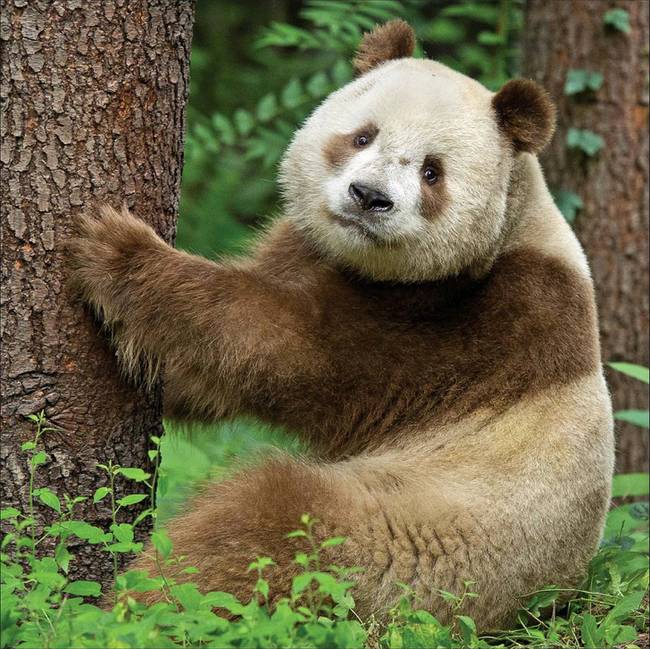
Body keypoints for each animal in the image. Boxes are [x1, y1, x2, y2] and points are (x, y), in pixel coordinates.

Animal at [69, 20, 614, 630]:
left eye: (432, 171)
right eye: (363, 137)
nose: (368, 197)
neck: (513, 224)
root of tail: (546, 601)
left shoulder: (478, 324)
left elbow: (291, 351)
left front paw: (117, 250)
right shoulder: (306, 248)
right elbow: (206, 377)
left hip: (417, 546)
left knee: (267, 528)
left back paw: (135, 607)